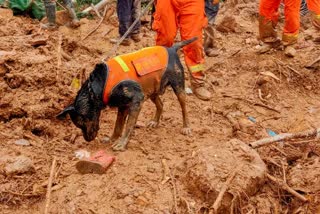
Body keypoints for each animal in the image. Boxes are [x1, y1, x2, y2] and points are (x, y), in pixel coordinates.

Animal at [58, 37, 198, 150]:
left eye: (81, 123)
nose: (87, 139)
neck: (98, 86)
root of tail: (172, 49)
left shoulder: (136, 101)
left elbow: (128, 126)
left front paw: (122, 144)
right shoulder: (123, 106)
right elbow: (118, 126)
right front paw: (112, 139)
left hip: (177, 86)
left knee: (183, 107)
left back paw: (186, 126)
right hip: (152, 88)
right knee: (160, 104)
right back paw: (155, 121)